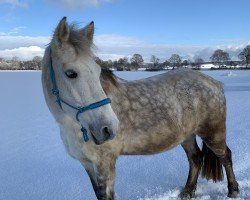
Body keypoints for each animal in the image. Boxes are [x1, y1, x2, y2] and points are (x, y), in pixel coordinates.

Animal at [42, 17, 239, 200]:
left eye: (97, 72)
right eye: (70, 73)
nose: (108, 129)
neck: (73, 125)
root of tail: (214, 83)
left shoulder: (105, 164)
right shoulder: (88, 164)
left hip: (213, 133)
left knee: (225, 156)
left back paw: (233, 190)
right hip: (187, 135)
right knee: (195, 159)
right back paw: (187, 192)